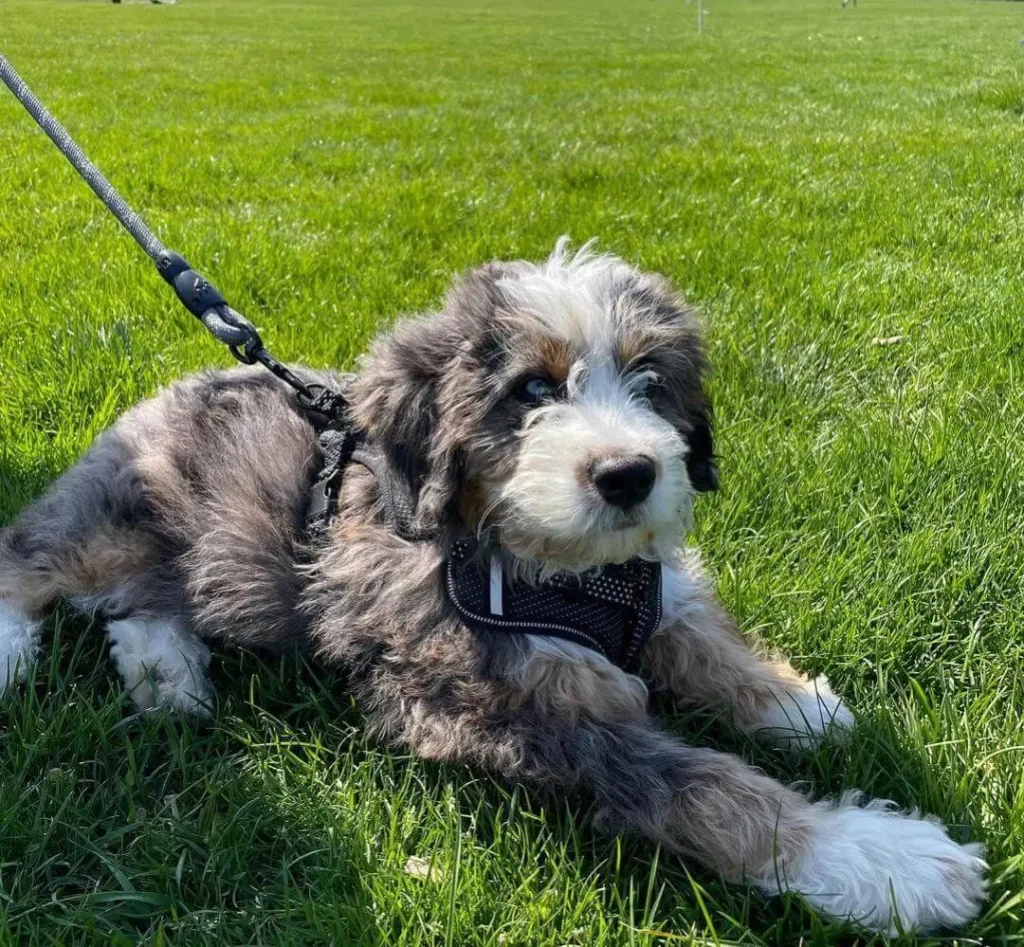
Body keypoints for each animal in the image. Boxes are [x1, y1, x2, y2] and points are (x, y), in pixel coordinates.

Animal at [2, 241, 991, 929]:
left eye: (651, 381)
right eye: (531, 390)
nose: (629, 474)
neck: (569, 572)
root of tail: (159, 396)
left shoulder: (655, 596)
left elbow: (706, 640)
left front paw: (799, 705)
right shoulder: (507, 706)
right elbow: (699, 782)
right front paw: (883, 859)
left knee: (145, 603)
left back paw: (166, 676)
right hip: (118, 512)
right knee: (31, 552)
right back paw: (21, 649)